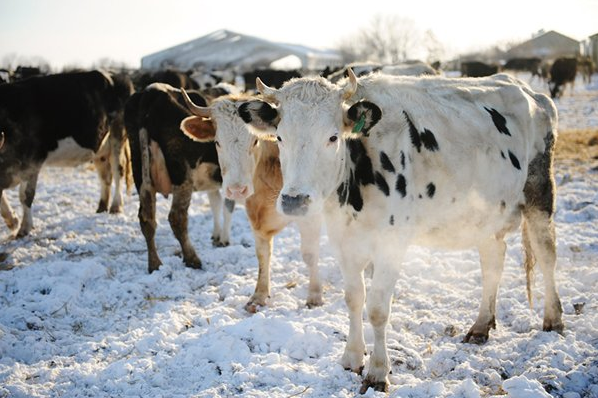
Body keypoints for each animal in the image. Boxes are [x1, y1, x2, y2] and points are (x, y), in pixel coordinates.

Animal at [0, 69, 134, 236]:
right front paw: (12, 221)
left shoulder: (33, 160)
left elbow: (25, 195)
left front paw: (24, 227)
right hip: (101, 147)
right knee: (106, 176)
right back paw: (102, 207)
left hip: (118, 135)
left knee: (118, 171)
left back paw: (116, 206)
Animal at [124, 83, 234, 274]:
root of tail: (151, 91)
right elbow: (228, 205)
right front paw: (224, 240)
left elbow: (216, 203)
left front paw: (217, 236)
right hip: (181, 173)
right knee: (177, 217)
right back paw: (192, 259)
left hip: (140, 170)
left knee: (147, 218)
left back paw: (155, 264)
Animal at [179, 90, 324, 310]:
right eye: (217, 142)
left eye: (255, 141)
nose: (237, 190)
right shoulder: (257, 217)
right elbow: (263, 254)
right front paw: (259, 295)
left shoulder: (310, 214)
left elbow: (310, 253)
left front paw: (314, 296)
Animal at [240, 70, 568, 394]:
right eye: (280, 137)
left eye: (332, 137)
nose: (294, 201)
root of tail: (527, 89)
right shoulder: (344, 241)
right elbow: (353, 298)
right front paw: (352, 358)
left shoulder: (391, 244)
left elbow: (377, 309)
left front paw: (377, 372)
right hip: (486, 214)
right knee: (492, 261)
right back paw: (480, 326)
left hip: (540, 193)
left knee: (547, 253)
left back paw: (553, 319)